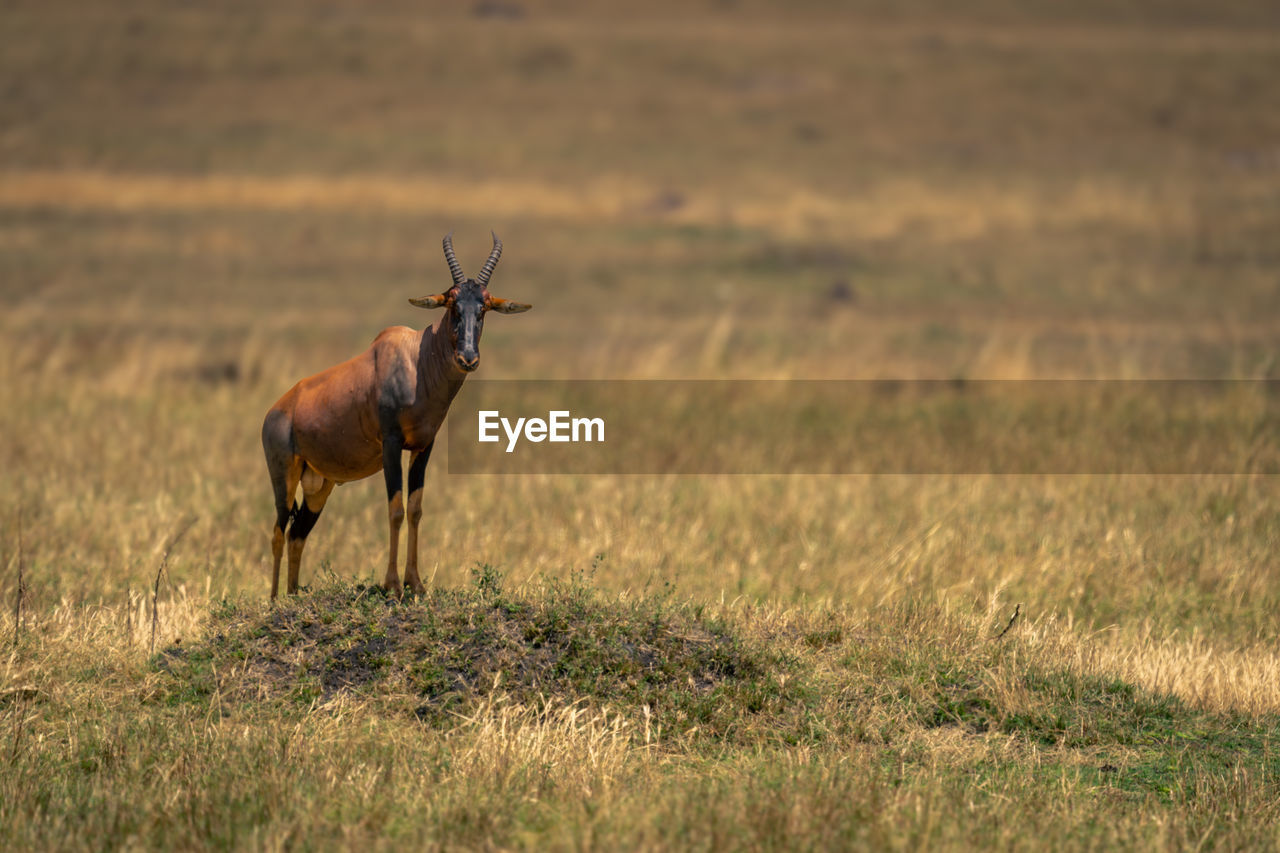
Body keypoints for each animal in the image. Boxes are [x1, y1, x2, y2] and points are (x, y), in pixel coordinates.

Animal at [261, 229, 529, 594]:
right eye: (452, 304)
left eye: (484, 307)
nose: (468, 358)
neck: (416, 359)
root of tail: (275, 411)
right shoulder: (390, 443)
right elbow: (395, 509)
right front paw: (391, 585)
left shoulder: (423, 447)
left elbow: (415, 509)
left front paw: (415, 583)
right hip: (284, 476)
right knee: (277, 531)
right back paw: (275, 600)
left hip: (319, 484)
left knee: (297, 534)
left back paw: (292, 596)